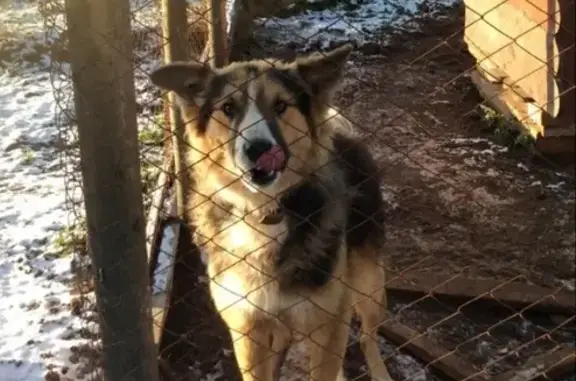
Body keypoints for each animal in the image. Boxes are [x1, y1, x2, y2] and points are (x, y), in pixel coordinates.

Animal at [150, 43, 392, 380]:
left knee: (368, 336)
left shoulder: (329, 319)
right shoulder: (247, 327)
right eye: (228, 108)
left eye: (280, 105)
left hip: (368, 282)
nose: (259, 149)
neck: (263, 213)